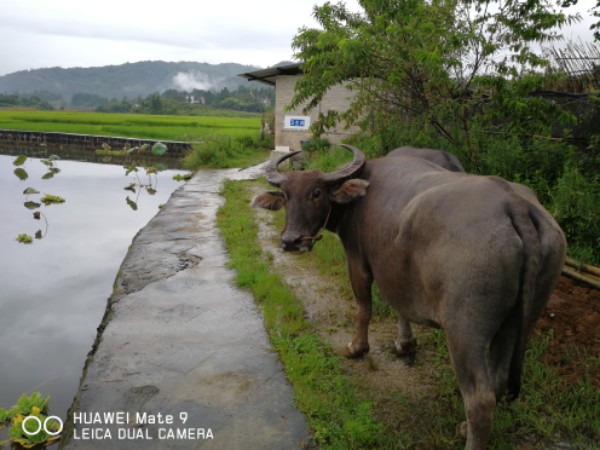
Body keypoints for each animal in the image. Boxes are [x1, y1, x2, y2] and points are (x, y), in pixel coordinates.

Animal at [254, 146, 568, 448]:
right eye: (286, 195)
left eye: (316, 193)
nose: (291, 241)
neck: (359, 196)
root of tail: (514, 204)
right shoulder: (398, 273)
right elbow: (400, 306)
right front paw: (405, 344)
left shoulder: (358, 261)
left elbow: (364, 307)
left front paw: (357, 347)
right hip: (517, 321)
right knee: (499, 379)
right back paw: (463, 427)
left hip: (465, 331)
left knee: (480, 400)